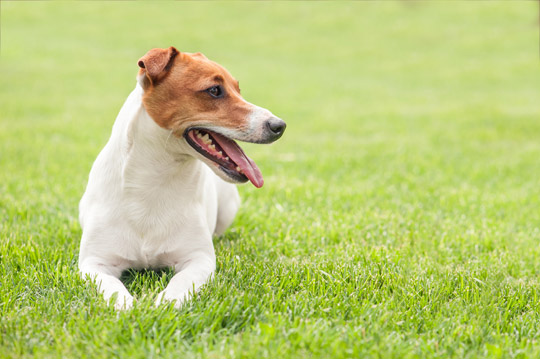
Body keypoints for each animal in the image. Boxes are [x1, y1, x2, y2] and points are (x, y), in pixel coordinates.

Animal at [78, 46, 286, 310]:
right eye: (214, 90)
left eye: (238, 90)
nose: (279, 125)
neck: (155, 182)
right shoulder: (94, 264)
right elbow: (113, 290)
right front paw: (128, 308)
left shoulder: (198, 260)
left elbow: (179, 284)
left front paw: (163, 306)